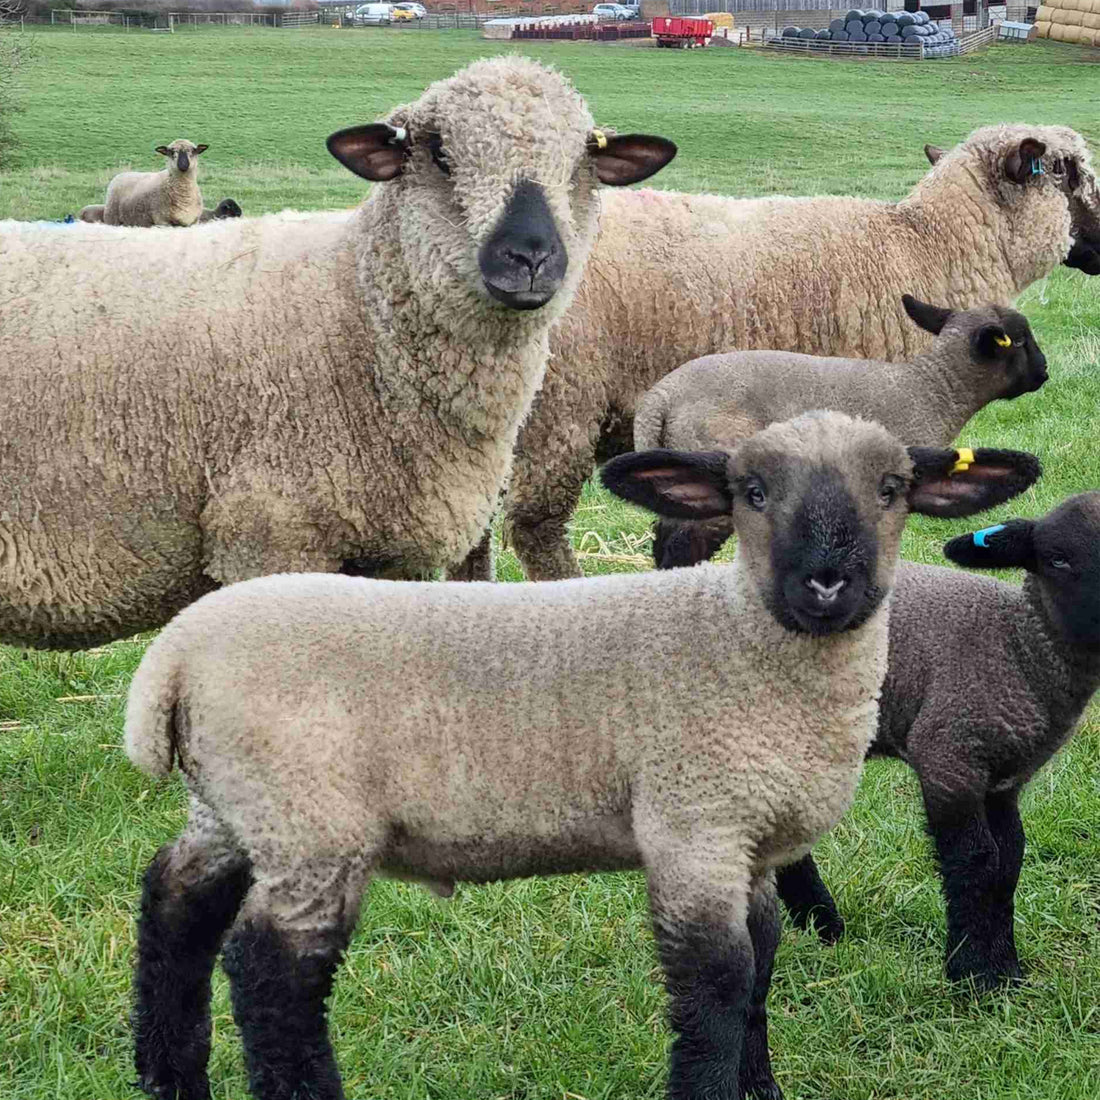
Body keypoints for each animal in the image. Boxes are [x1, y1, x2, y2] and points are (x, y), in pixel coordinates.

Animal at [0, 57, 676, 650]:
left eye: (583, 161)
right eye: (437, 151)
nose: (531, 256)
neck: (358, 311)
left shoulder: (387, 556)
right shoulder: (267, 536)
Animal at [122, 410, 1039, 1100]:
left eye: (893, 490)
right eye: (751, 492)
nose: (825, 582)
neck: (740, 641)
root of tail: (176, 656)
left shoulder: (751, 843)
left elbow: (763, 964)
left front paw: (763, 1087)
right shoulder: (694, 823)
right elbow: (718, 984)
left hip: (241, 806)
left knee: (176, 902)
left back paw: (171, 1078)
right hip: (312, 821)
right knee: (270, 975)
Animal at [775, 492, 1100, 992]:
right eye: (1057, 559)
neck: (1018, 644)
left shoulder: (1002, 780)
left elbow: (1010, 861)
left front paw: (1006, 971)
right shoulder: (949, 757)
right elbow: (976, 861)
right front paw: (972, 976)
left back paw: (822, 925)